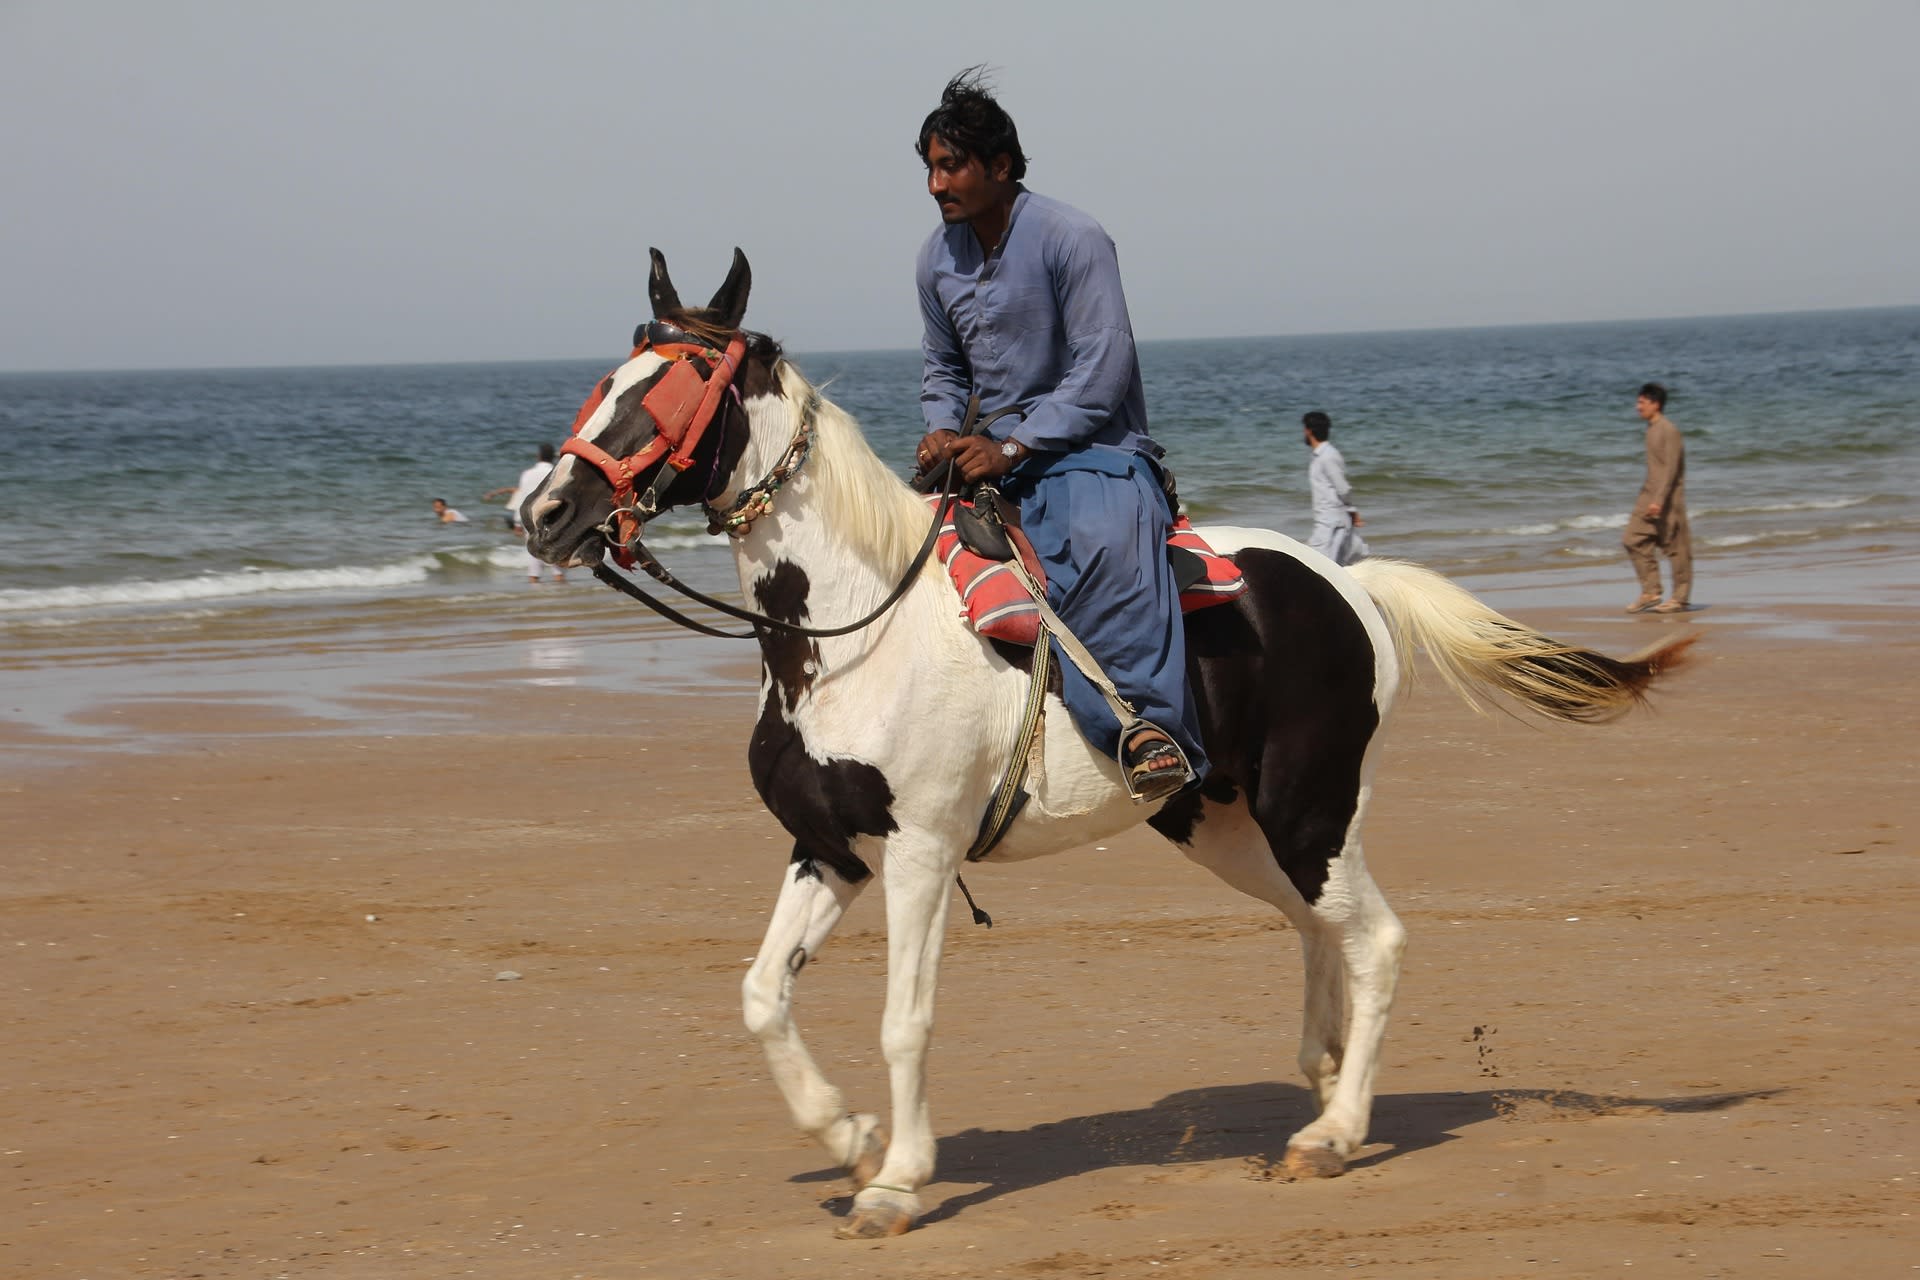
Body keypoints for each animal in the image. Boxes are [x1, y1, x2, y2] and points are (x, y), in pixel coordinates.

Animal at [522, 249, 1694, 1239]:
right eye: (610, 377)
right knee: (1321, 928)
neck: (853, 629)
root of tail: (1351, 583)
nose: (544, 510)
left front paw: (897, 1181)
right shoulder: (830, 849)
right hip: (1226, 824)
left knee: (1380, 938)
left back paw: (1334, 1131)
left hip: (1307, 809)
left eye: (673, 384)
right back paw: (1322, 1076)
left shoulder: (918, 854)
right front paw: (849, 1135)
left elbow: (906, 1017)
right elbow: (763, 996)